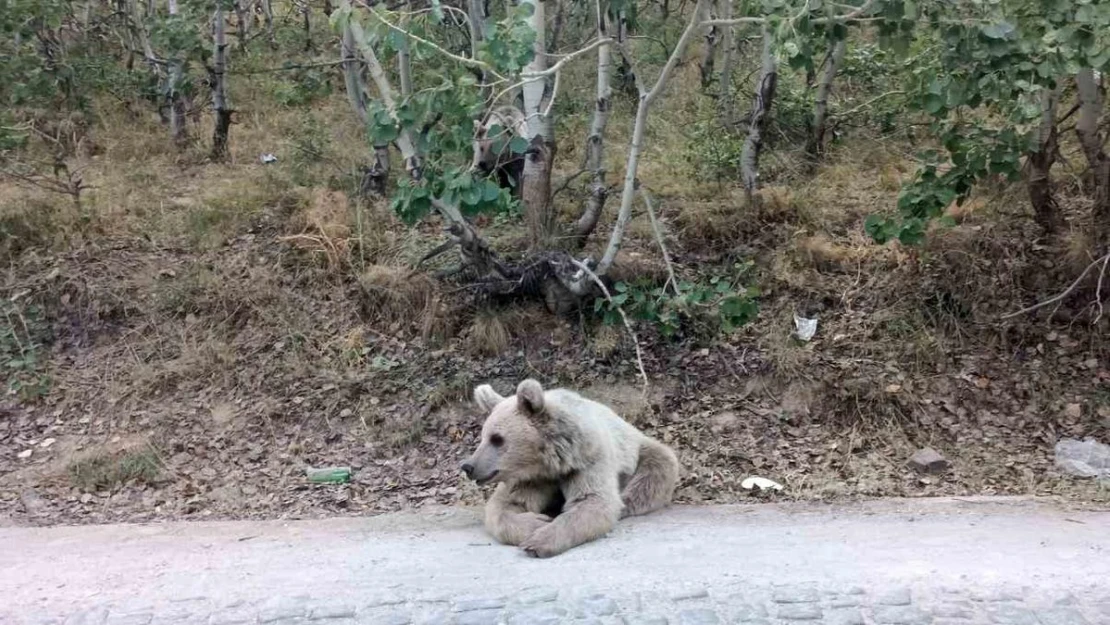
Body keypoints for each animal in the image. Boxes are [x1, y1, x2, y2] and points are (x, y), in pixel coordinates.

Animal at [457, 379, 674, 559]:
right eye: (483, 436)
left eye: (497, 439)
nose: (468, 466)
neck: (549, 461)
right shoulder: (530, 478)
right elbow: (505, 505)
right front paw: (537, 521)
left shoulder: (587, 460)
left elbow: (593, 500)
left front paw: (539, 540)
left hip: (640, 451)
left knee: (654, 473)